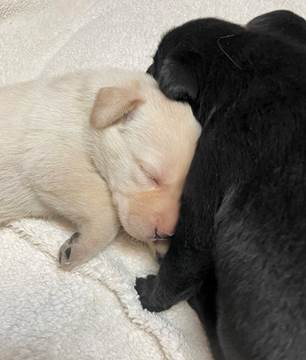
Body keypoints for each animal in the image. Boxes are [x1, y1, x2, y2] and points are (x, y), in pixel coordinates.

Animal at [0, 68, 201, 270]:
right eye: (149, 174)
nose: (165, 233)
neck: (86, 112)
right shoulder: (52, 160)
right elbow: (105, 211)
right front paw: (79, 249)